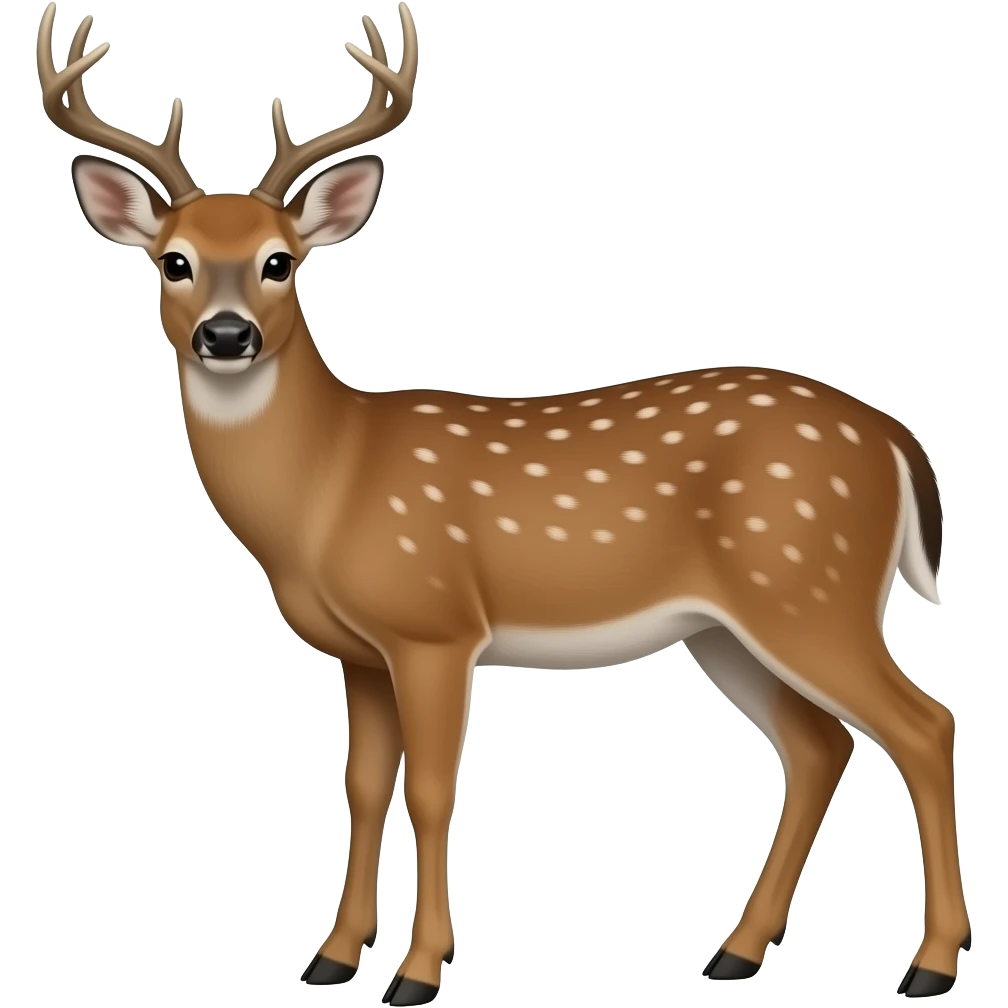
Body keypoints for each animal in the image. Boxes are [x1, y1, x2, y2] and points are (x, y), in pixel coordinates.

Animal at [36, 3, 967, 1002]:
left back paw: (929, 964)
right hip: (729, 627)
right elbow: (363, 786)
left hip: (809, 587)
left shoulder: (436, 625)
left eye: (280, 262)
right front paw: (331, 959)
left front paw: (418, 971)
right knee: (819, 746)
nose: (225, 334)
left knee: (923, 725)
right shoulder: (361, 652)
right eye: (173, 261)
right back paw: (736, 952)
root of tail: (895, 440)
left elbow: (433, 790)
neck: (331, 483)